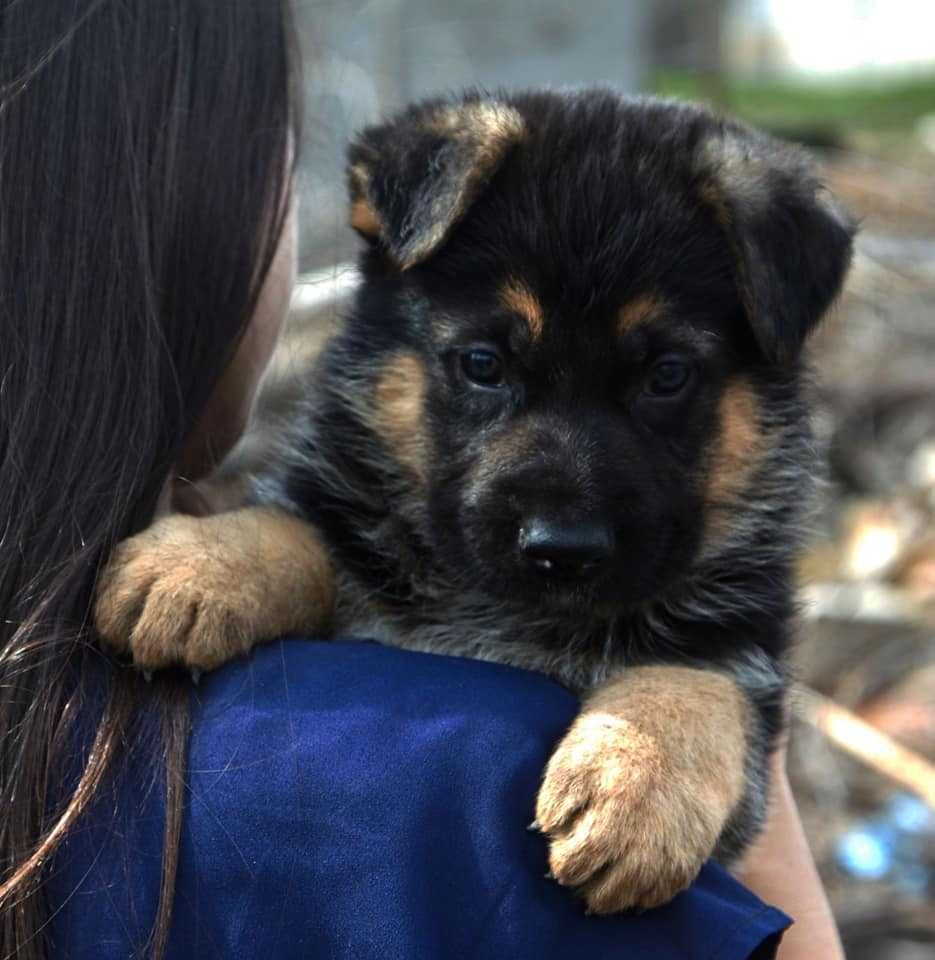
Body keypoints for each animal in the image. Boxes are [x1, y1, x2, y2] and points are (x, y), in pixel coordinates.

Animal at [97, 90, 856, 916]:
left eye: (667, 376)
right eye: (483, 364)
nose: (561, 549)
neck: (504, 617)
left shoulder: (741, 649)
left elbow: (696, 681)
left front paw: (635, 785)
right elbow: (300, 528)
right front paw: (194, 565)